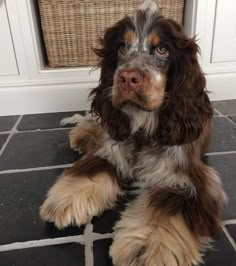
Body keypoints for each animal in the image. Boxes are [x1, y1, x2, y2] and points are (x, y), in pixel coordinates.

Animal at [39, 1, 226, 264]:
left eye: (162, 50)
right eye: (121, 47)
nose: (127, 78)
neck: (143, 128)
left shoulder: (189, 180)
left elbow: (165, 210)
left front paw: (148, 247)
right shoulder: (112, 150)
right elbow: (92, 167)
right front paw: (67, 198)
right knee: (95, 122)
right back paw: (83, 134)